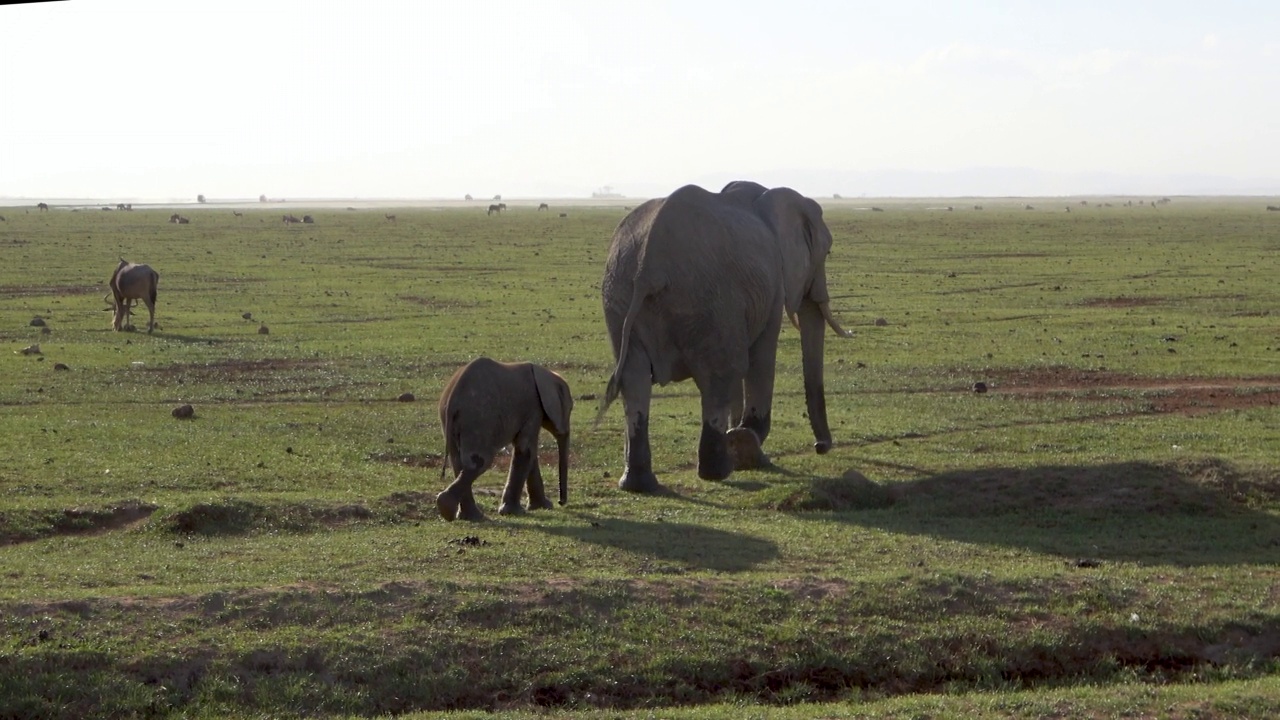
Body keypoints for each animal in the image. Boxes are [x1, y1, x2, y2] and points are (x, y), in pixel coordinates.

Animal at [440, 356, 576, 517]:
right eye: (571, 408)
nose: (561, 502)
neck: (548, 374)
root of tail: (452, 402)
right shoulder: (533, 408)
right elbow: (526, 450)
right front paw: (514, 512)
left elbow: (528, 451)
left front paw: (542, 507)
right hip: (478, 420)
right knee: (480, 462)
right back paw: (452, 508)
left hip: (454, 423)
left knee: (458, 462)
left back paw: (471, 517)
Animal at [596, 181, 849, 489]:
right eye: (826, 253)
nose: (820, 446)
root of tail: (649, 265)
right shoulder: (774, 283)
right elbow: (760, 355)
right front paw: (744, 441)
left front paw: (740, 439)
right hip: (706, 299)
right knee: (718, 376)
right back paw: (718, 470)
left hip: (619, 293)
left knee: (635, 380)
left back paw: (639, 485)